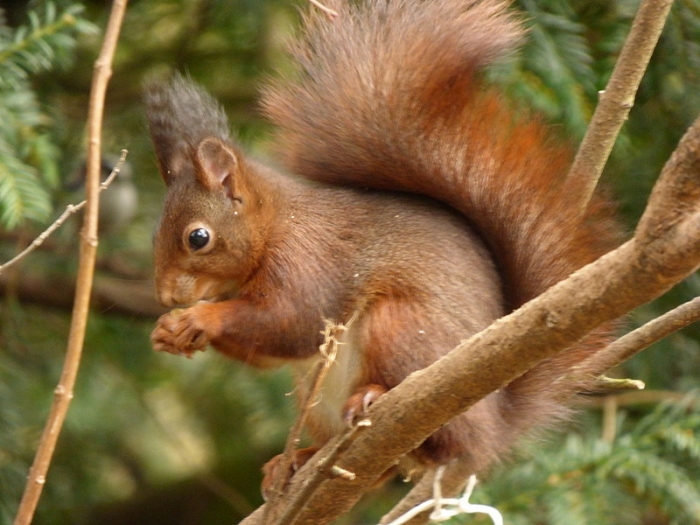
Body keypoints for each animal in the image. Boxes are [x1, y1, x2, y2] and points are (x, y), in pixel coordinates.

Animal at [145, 0, 621, 487]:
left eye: (198, 237)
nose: (166, 296)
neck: (277, 225)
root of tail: (492, 425)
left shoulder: (308, 261)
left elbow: (290, 321)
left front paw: (198, 319)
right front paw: (168, 331)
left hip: (400, 328)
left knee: (437, 440)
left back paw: (374, 397)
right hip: (315, 396)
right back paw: (297, 460)